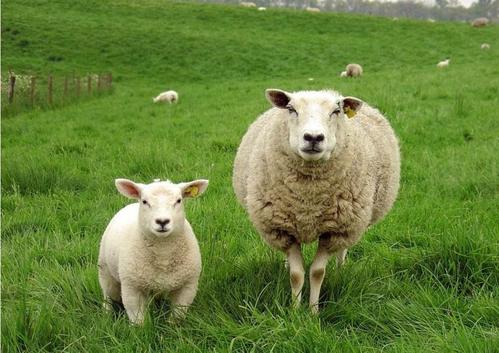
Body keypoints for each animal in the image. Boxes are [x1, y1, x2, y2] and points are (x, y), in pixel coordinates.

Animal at [99, 177, 209, 324]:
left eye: (179, 200)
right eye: (145, 201)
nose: (162, 221)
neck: (163, 251)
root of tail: (131, 205)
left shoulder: (187, 286)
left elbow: (177, 317)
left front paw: (172, 328)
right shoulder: (132, 288)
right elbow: (138, 321)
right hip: (105, 270)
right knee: (107, 296)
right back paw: (106, 316)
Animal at [232, 87, 400, 310]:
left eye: (336, 111)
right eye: (291, 109)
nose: (313, 137)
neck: (309, 201)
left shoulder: (334, 231)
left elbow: (317, 272)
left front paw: (313, 311)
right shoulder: (284, 230)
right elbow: (296, 274)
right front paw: (295, 311)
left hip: (351, 223)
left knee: (342, 250)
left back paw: (340, 268)